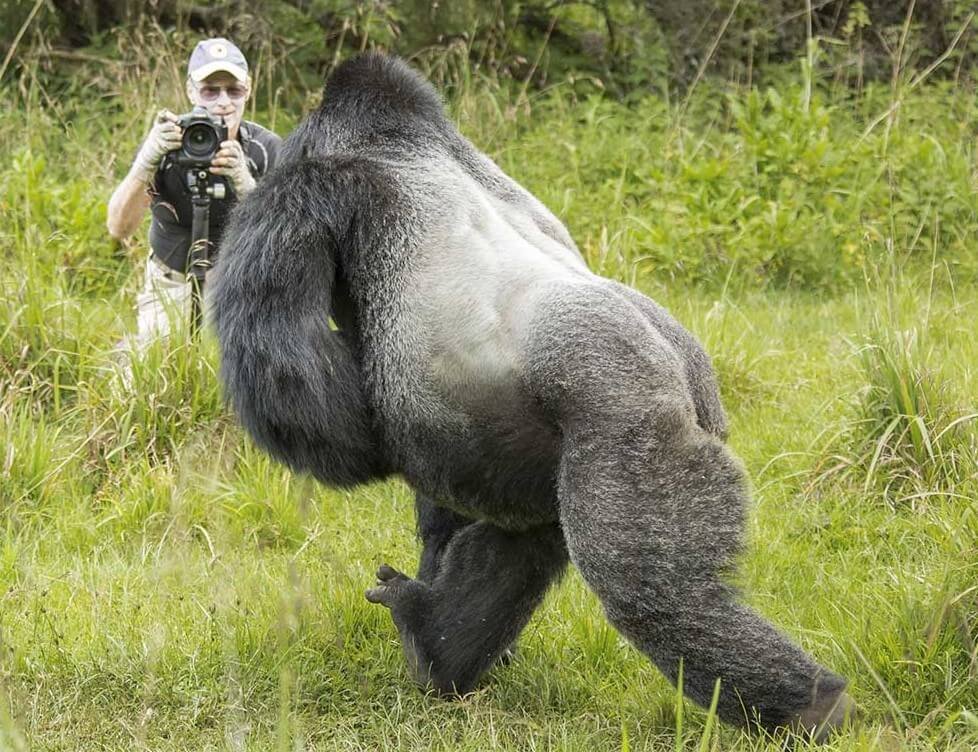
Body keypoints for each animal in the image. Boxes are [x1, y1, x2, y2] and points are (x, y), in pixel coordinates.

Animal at [210, 52, 854, 741]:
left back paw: (807, 708)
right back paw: (437, 644)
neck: (396, 140)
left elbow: (309, 399)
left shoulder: (304, 190)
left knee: (655, 592)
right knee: (527, 542)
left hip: (627, 422)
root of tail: (681, 367)